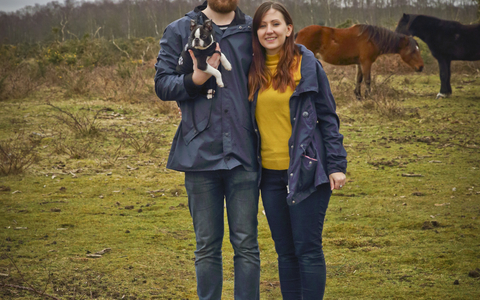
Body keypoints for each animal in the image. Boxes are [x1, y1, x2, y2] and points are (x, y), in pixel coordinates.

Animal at [296, 23, 424, 98]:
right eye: (413, 51)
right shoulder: (366, 62)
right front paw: (369, 96)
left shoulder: (359, 63)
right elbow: (367, 80)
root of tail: (299, 32)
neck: (372, 39)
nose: (421, 67)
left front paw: (358, 96)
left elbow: (359, 79)